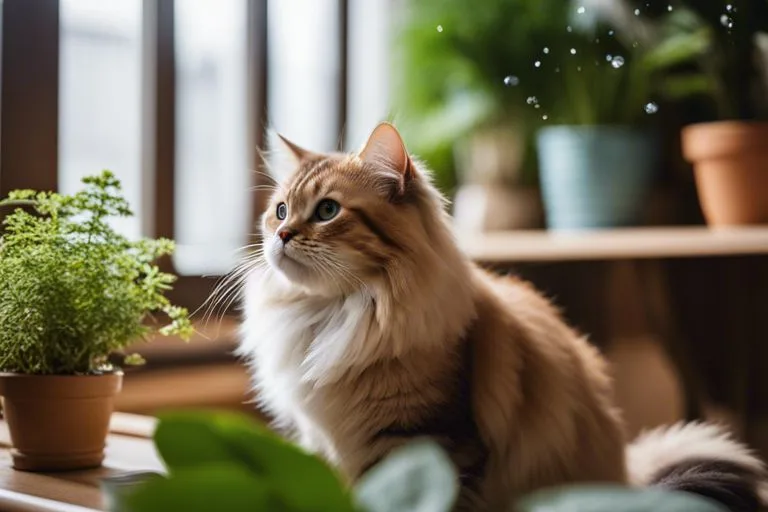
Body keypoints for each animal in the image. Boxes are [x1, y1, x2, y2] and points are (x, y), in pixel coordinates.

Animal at [237, 122, 764, 510]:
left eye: (327, 211)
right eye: (280, 211)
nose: (281, 235)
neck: (333, 314)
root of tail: (627, 480)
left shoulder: (425, 447)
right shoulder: (320, 446)